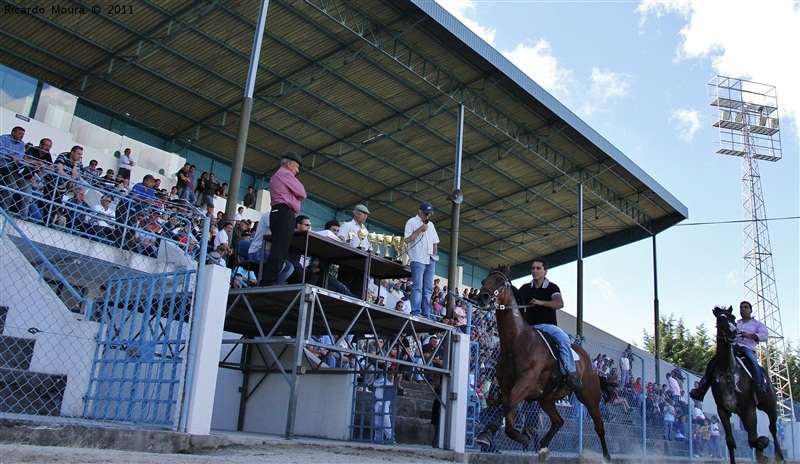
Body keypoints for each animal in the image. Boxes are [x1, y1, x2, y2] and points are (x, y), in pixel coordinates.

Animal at [472, 264, 616, 460]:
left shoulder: (524, 383)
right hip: (546, 399)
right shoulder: (510, 388)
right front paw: (526, 435)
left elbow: (505, 409)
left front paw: (485, 435)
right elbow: (508, 424)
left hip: (589, 396)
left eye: (501, 281)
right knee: (558, 421)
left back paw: (606, 457)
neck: (517, 341)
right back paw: (543, 447)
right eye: (483, 281)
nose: (483, 297)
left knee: (599, 426)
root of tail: (589, 361)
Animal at [708, 306, 784, 462]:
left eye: (733, 317)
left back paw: (779, 455)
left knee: (772, 428)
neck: (728, 370)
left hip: (770, 405)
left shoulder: (749, 408)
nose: (733, 332)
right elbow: (731, 442)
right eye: (720, 318)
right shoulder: (723, 410)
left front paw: (763, 444)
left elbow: (754, 439)